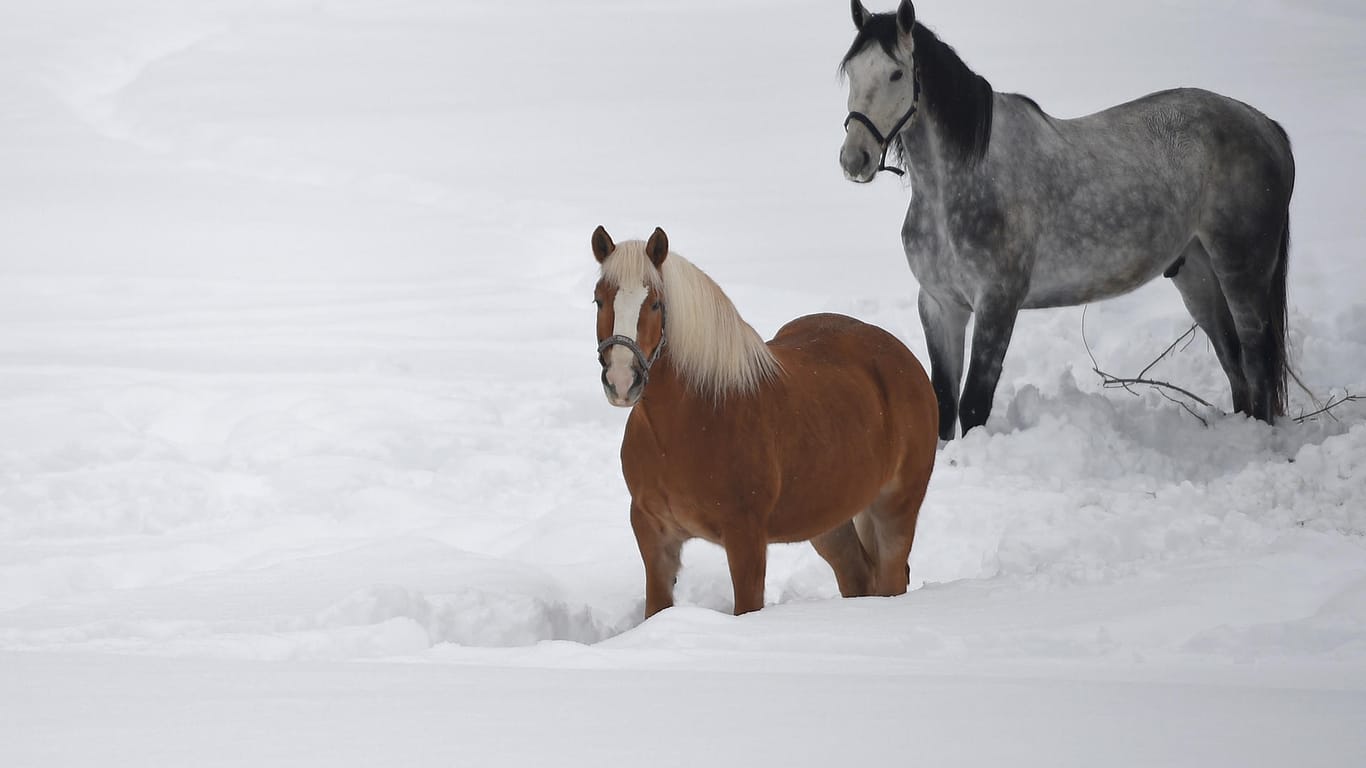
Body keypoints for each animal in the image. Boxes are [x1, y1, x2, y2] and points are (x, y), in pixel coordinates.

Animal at [587, 224, 939, 612]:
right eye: (599, 300)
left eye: (655, 304)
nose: (622, 380)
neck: (688, 421)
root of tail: (903, 358)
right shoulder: (654, 535)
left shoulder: (746, 538)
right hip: (829, 520)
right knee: (857, 575)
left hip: (895, 509)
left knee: (890, 578)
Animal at [835, 0, 1294, 437]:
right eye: (852, 72)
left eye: (896, 74)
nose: (855, 159)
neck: (961, 183)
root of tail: (1266, 126)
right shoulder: (938, 304)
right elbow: (943, 404)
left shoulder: (997, 305)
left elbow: (972, 406)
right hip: (1196, 273)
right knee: (1234, 362)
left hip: (1242, 272)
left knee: (1256, 361)